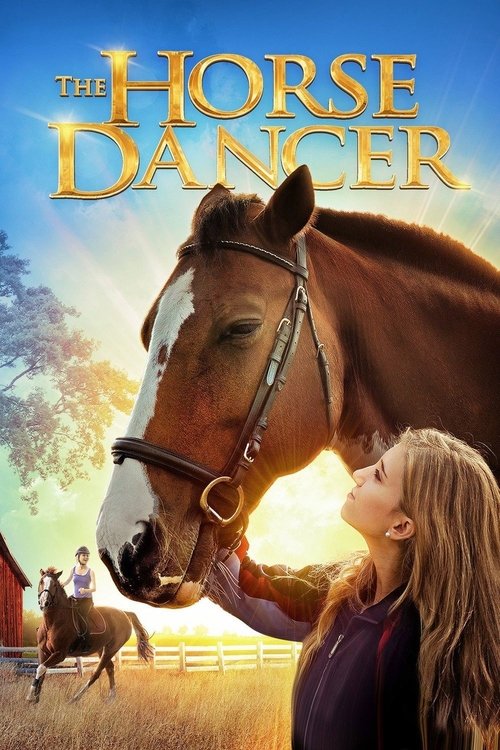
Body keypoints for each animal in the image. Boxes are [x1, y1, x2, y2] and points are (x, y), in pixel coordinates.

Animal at [26, 568, 153, 703]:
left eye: (54, 585)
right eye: (41, 582)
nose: (44, 602)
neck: (52, 623)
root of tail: (124, 613)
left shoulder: (60, 653)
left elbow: (40, 668)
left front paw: (30, 697)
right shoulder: (43, 651)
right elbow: (42, 671)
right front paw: (35, 699)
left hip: (111, 649)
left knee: (97, 673)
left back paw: (75, 698)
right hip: (101, 649)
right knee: (110, 668)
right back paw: (111, 698)